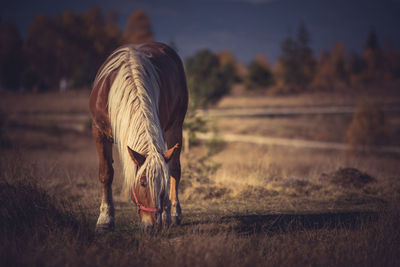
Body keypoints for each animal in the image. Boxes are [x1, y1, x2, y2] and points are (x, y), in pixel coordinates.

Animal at [89, 42, 188, 232]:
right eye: (142, 183)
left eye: (163, 185)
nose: (152, 226)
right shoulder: (98, 132)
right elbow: (106, 173)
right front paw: (105, 219)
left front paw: (166, 216)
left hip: (175, 127)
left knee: (174, 168)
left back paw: (174, 213)